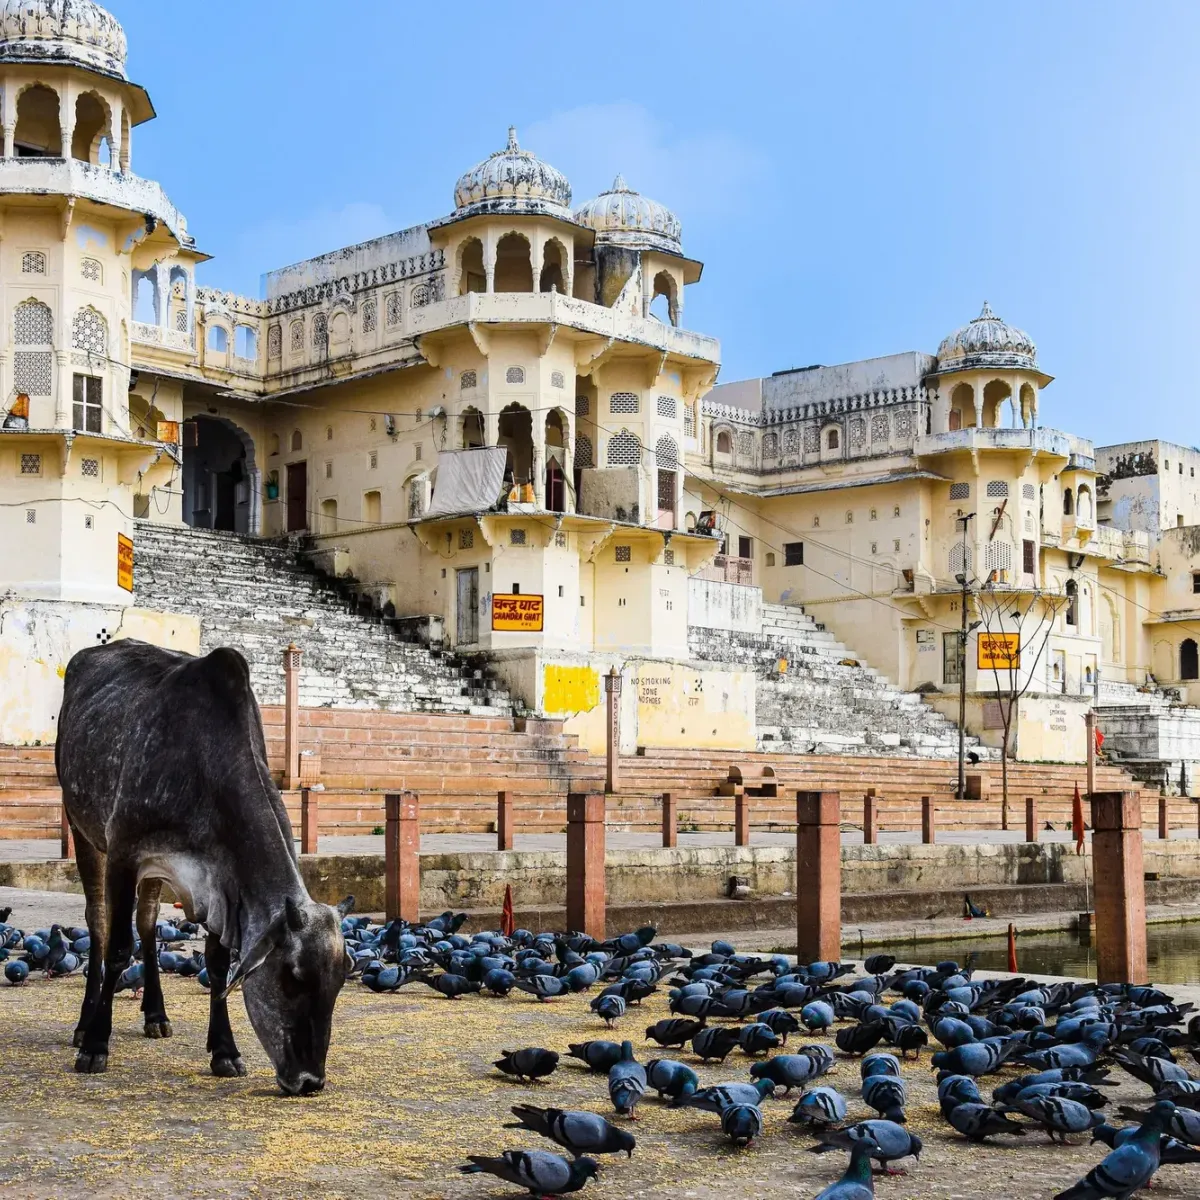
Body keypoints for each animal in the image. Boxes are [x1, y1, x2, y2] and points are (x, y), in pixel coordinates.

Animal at [55, 639, 345, 1095]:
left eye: (341, 980)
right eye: (292, 976)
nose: (310, 1080)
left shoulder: (218, 882)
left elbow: (217, 963)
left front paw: (224, 1051)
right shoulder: (124, 853)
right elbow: (117, 949)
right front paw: (96, 1046)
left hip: (155, 874)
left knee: (147, 923)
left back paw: (156, 1016)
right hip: (82, 828)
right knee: (99, 924)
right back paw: (85, 1025)